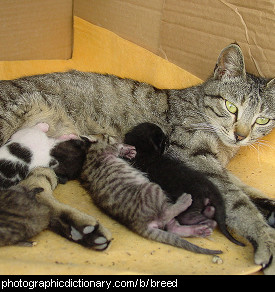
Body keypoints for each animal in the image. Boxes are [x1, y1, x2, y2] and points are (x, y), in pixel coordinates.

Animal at [81, 138, 223, 254]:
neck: (88, 156)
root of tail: (139, 225)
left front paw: (128, 151)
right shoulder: (104, 151)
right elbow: (115, 146)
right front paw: (126, 148)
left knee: (172, 228)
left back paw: (201, 228)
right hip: (153, 189)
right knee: (165, 215)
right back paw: (186, 202)